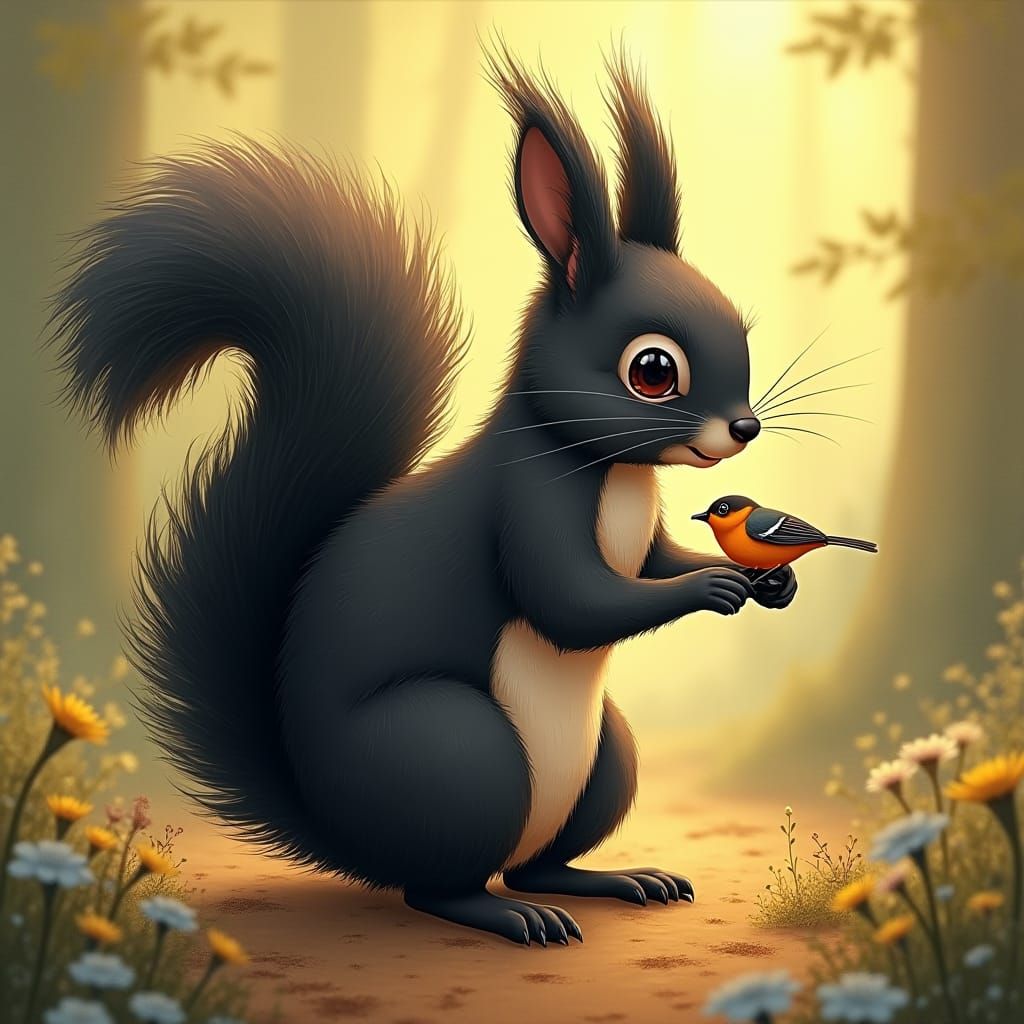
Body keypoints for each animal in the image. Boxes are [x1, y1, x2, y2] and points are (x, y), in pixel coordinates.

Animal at [52, 49, 797, 946]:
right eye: (653, 370)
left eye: (742, 330)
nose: (745, 427)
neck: (612, 471)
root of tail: (342, 834)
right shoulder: (525, 506)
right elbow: (574, 603)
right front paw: (711, 585)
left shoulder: (637, 531)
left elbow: (651, 561)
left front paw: (765, 580)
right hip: (460, 754)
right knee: (440, 887)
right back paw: (511, 916)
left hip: (605, 763)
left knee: (540, 860)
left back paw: (617, 879)